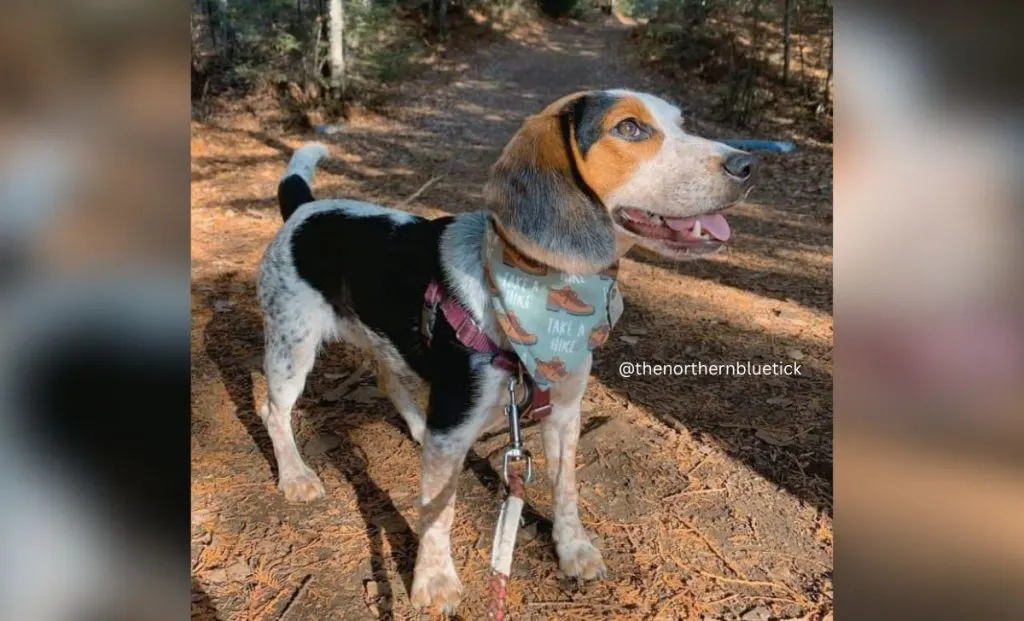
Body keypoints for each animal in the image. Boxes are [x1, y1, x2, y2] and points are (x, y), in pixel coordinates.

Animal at [256, 90, 753, 614]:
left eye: (680, 123)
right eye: (630, 128)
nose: (748, 164)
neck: (540, 287)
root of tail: (303, 209)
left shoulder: (563, 411)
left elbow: (565, 488)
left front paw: (573, 549)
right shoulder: (457, 417)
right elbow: (438, 514)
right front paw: (434, 581)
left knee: (388, 379)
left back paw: (415, 427)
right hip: (291, 348)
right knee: (273, 410)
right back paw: (295, 476)